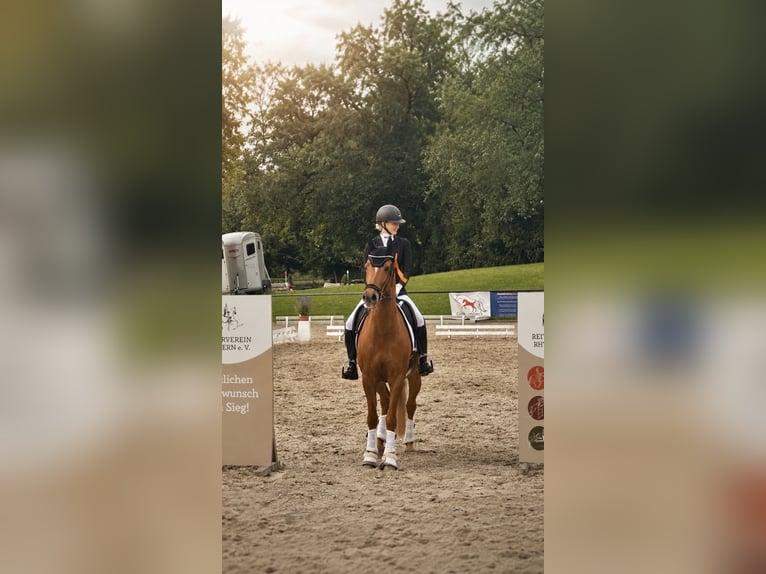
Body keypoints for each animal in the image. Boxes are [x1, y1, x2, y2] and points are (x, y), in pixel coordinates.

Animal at [356, 252, 422, 470]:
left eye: (387, 268)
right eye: (367, 266)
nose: (370, 297)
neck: (382, 329)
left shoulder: (397, 378)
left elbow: (393, 418)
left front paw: (390, 458)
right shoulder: (368, 377)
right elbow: (372, 417)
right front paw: (370, 455)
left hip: (415, 376)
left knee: (410, 406)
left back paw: (408, 442)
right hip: (378, 380)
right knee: (384, 403)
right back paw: (380, 441)